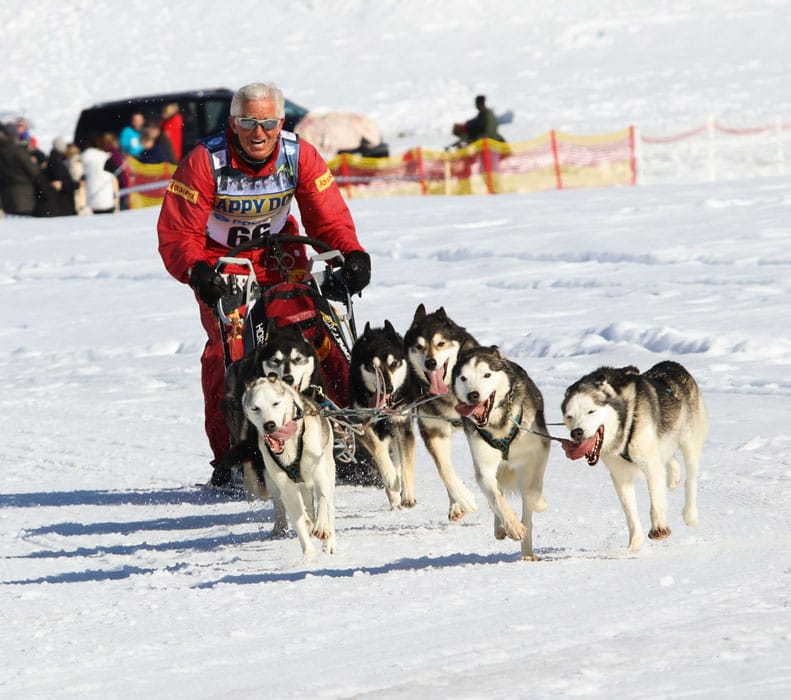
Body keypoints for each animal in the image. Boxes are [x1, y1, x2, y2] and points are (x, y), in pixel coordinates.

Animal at [244, 374, 338, 560]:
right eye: (256, 408)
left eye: (275, 403)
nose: (269, 425)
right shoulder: (287, 490)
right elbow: (299, 522)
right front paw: (308, 556)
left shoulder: (320, 476)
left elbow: (323, 501)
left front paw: (322, 527)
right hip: (275, 483)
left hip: (328, 470)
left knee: (328, 504)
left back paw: (329, 541)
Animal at [348, 322, 418, 508]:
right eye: (373, 367)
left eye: (394, 363)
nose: (390, 388)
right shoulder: (363, 424)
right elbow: (379, 451)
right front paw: (390, 479)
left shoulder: (402, 426)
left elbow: (406, 463)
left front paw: (408, 495)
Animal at [406, 304, 480, 524]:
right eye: (419, 346)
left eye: (440, 343)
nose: (430, 362)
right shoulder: (434, 431)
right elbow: (444, 469)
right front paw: (463, 499)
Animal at [452, 348, 552, 560]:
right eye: (463, 378)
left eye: (486, 374)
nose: (473, 395)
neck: (498, 423)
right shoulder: (484, 467)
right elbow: (496, 499)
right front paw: (512, 526)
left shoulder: (539, 449)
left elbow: (532, 492)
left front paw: (540, 504)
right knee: (497, 496)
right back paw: (502, 527)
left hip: (522, 470)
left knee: (527, 507)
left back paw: (528, 552)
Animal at [560, 360, 708, 552]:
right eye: (569, 416)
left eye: (591, 411)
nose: (576, 432)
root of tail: (672, 364)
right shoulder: (620, 475)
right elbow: (630, 512)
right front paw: (634, 545)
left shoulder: (650, 465)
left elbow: (656, 501)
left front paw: (659, 528)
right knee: (669, 460)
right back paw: (673, 477)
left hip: (690, 442)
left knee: (691, 480)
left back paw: (690, 514)